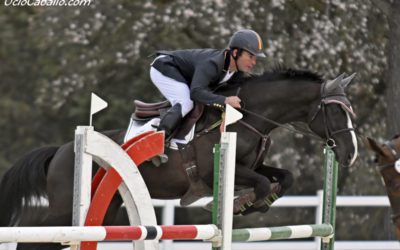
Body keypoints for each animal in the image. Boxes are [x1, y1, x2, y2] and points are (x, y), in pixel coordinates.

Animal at [0, 68, 356, 250]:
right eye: (336, 111)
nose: (350, 153)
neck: (248, 116)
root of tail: (61, 150)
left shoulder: (254, 165)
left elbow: (283, 178)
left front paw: (254, 204)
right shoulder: (221, 170)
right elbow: (260, 182)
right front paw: (238, 204)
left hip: (107, 206)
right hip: (64, 208)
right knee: (39, 234)